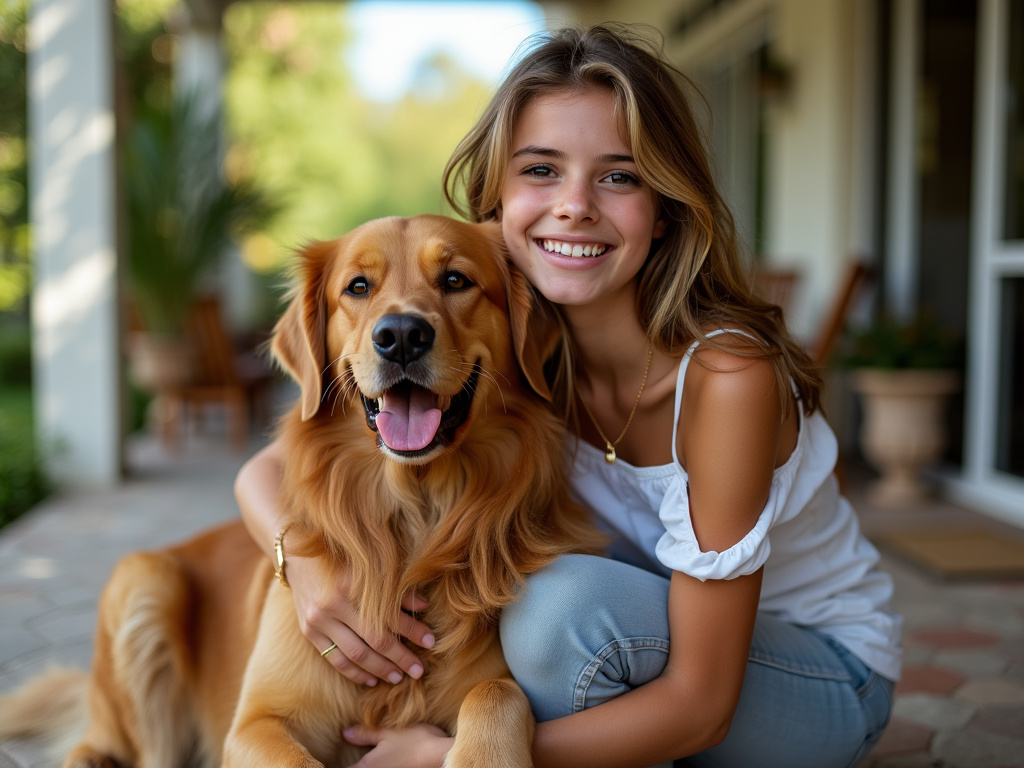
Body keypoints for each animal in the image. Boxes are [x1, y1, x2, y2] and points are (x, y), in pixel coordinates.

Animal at [0, 214, 598, 765]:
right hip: (143, 579)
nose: (401, 336)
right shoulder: (255, 724)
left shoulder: (492, 684)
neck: (410, 519)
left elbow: (497, 693)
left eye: (456, 280)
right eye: (358, 287)